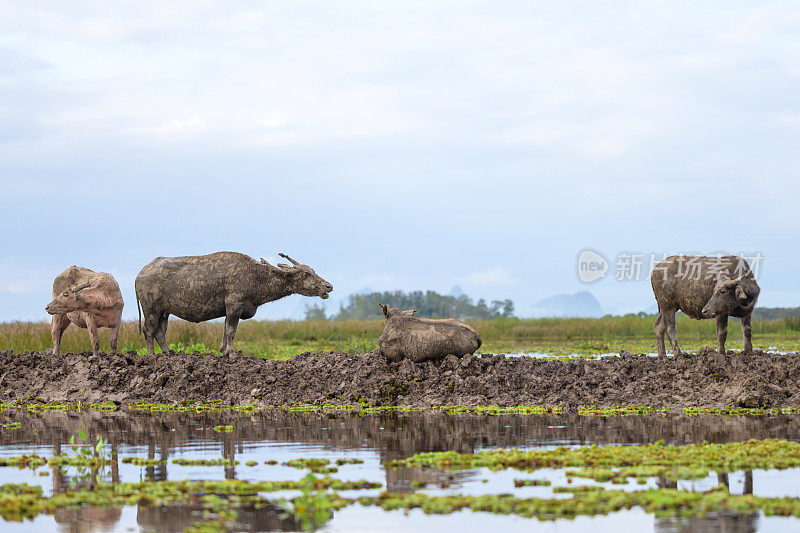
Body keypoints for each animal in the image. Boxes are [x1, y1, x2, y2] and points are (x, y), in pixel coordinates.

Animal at [134, 251, 332, 356]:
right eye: (306, 274)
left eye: (313, 270)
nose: (328, 286)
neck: (256, 277)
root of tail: (141, 273)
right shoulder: (234, 305)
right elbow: (231, 332)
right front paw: (232, 353)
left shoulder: (228, 310)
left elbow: (224, 332)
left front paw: (223, 351)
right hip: (151, 309)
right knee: (148, 331)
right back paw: (152, 356)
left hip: (164, 312)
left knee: (161, 332)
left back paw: (168, 354)